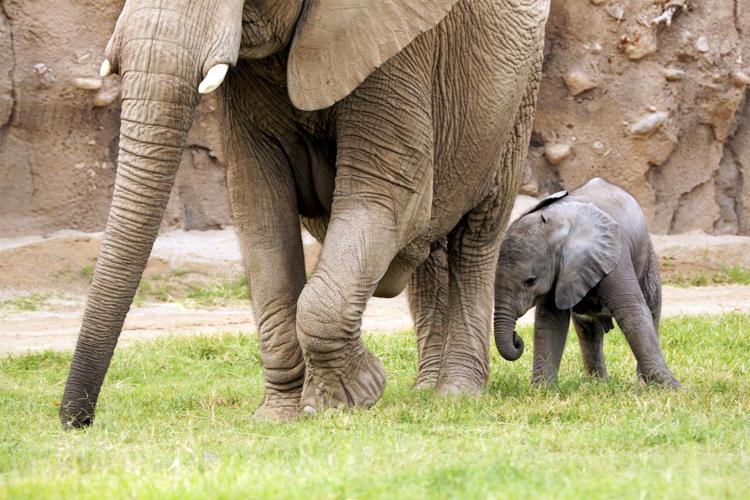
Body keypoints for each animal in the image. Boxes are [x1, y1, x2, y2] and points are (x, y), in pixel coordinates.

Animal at [59, 0, 551, 427]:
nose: (77, 421)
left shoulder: (397, 50)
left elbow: (389, 198)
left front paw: (349, 398)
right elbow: (260, 209)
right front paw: (279, 416)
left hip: (518, 94)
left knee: (475, 235)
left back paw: (456, 394)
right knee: (427, 252)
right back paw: (425, 391)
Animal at [493, 178, 681, 387]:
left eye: (530, 281)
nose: (516, 338)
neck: (559, 226)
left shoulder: (613, 257)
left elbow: (632, 312)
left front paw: (673, 389)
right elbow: (550, 321)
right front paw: (542, 389)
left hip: (647, 256)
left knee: (652, 309)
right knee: (588, 328)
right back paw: (597, 383)